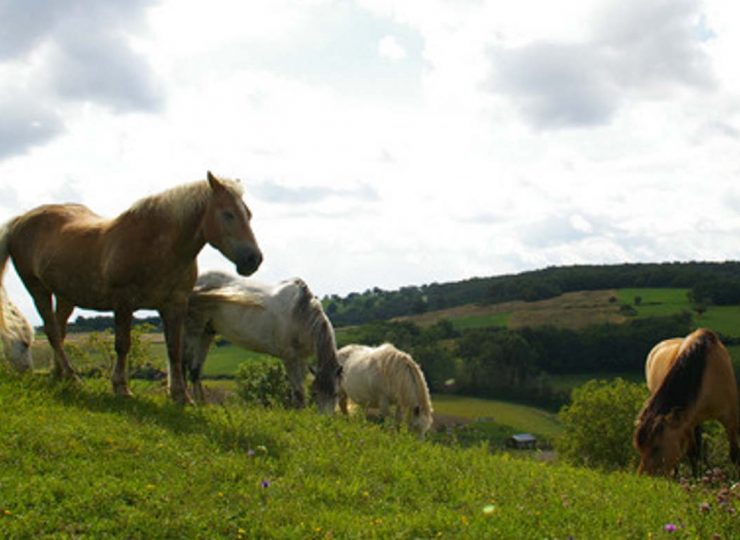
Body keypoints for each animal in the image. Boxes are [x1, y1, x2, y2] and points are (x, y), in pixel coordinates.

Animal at [0, 171, 262, 402]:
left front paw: (181, 396)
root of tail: (20, 220)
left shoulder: (175, 305)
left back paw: (59, 376)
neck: (157, 247)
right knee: (53, 331)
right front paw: (121, 388)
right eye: (227, 214)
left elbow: (174, 349)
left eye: (248, 214)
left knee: (59, 331)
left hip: (66, 295)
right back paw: (73, 377)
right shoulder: (124, 302)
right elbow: (122, 345)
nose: (254, 259)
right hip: (37, 288)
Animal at [182, 270, 342, 414]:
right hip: (193, 331)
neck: (299, 313)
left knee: (195, 371)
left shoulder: (301, 358)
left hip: (207, 332)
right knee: (184, 365)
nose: (325, 420)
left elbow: (300, 386)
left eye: (336, 393)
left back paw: (202, 404)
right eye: (316, 393)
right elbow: (298, 390)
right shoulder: (289, 357)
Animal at [632, 330, 740, 476]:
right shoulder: (687, 423)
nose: (642, 477)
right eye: (640, 448)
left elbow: (735, 454)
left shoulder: (731, 418)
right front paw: (696, 477)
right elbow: (692, 452)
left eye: (657, 447)